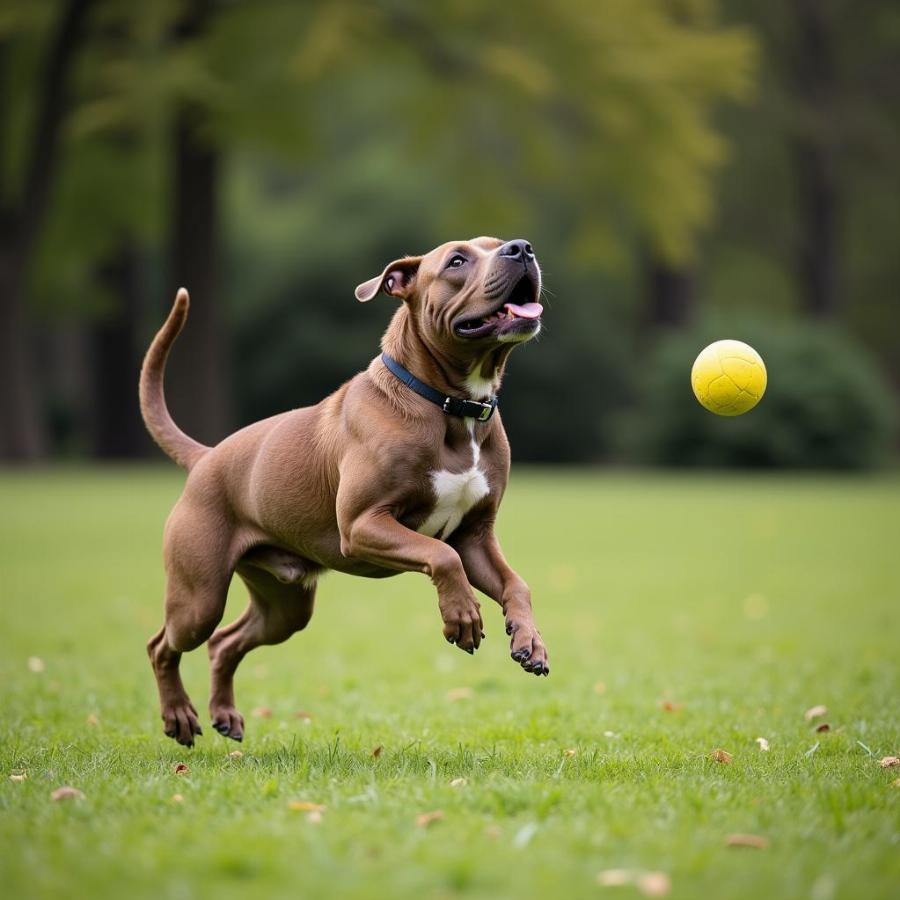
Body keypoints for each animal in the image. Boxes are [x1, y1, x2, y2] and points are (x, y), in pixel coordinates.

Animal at [141, 234, 548, 744]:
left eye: (497, 244)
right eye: (457, 261)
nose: (522, 248)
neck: (453, 407)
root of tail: (206, 457)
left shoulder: (475, 535)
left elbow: (517, 584)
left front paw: (529, 640)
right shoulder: (363, 525)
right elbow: (441, 557)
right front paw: (462, 616)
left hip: (284, 606)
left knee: (224, 643)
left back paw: (225, 715)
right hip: (199, 597)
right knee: (163, 645)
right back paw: (178, 715)